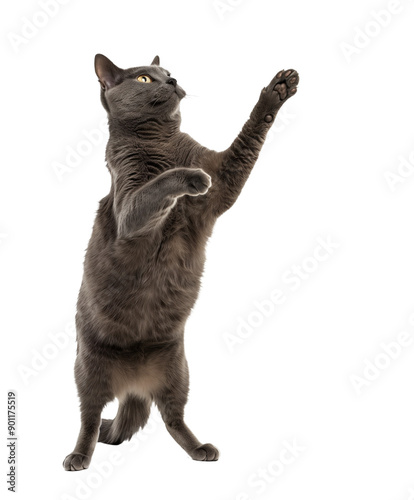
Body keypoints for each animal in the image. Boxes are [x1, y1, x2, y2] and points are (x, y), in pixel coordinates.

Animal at [62, 52, 298, 470]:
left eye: (167, 72)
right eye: (144, 78)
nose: (171, 80)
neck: (161, 140)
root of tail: (133, 386)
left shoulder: (223, 181)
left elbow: (246, 139)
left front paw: (279, 89)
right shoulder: (129, 210)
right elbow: (159, 184)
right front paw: (188, 177)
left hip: (178, 369)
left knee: (173, 417)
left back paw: (201, 449)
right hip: (88, 368)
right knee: (89, 418)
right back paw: (78, 457)